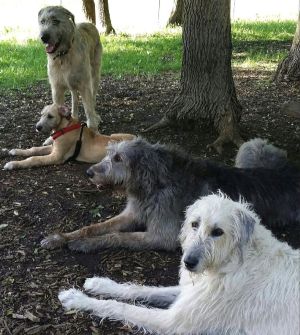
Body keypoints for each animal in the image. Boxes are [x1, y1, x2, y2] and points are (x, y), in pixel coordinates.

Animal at [3, 105, 135, 171]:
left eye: (50, 116)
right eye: (41, 115)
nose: (37, 127)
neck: (65, 127)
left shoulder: (57, 156)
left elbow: (34, 158)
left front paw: (13, 164)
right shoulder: (53, 148)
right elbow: (34, 149)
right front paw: (16, 151)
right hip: (114, 135)